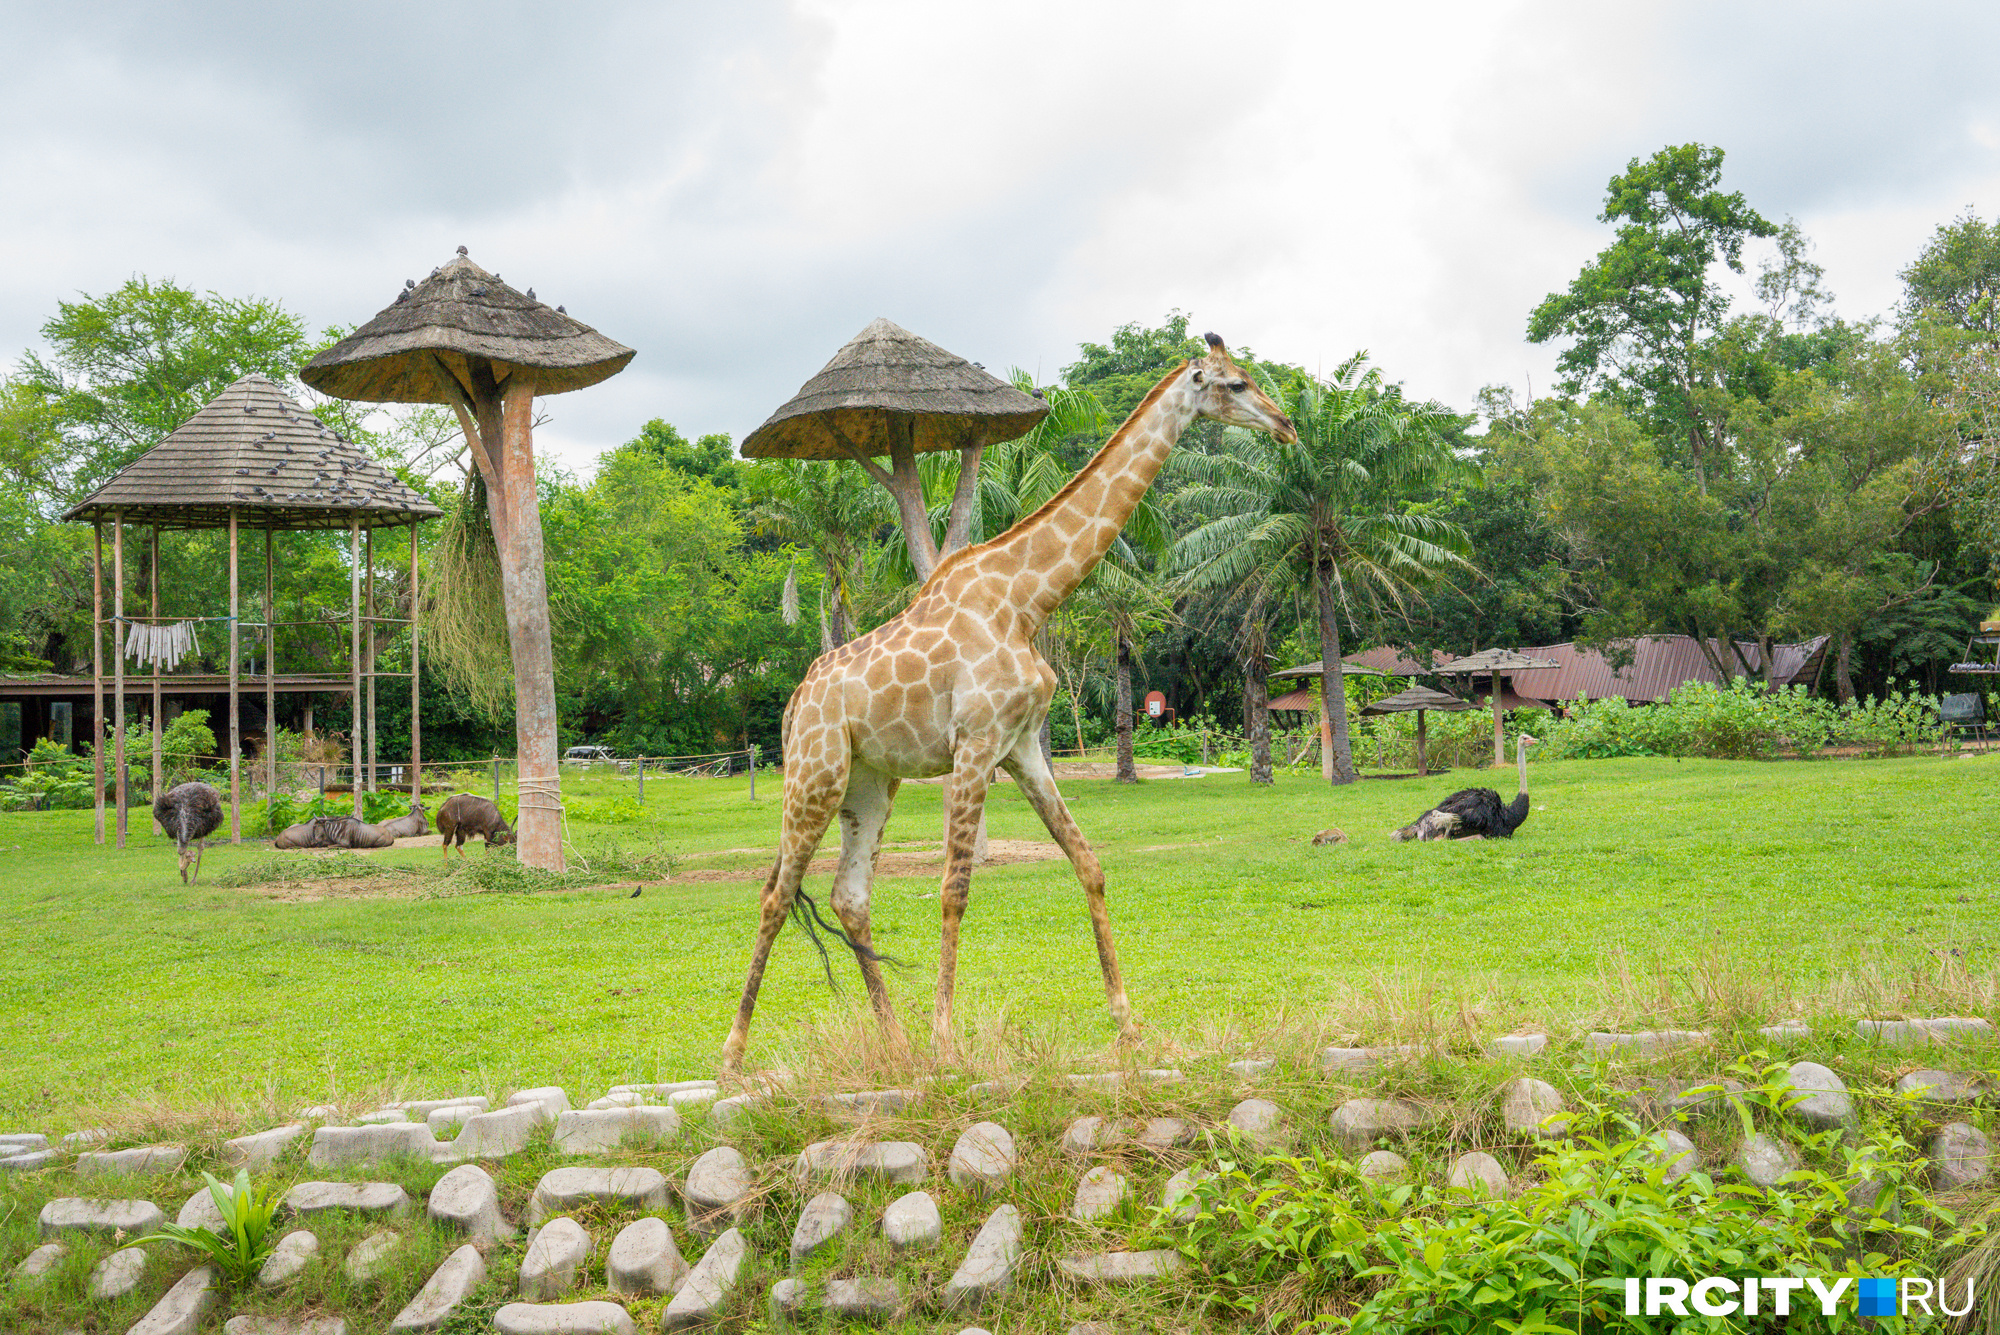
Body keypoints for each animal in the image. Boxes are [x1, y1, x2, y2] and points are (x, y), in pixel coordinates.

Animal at [720, 335, 1296, 1071]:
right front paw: (945, 1039)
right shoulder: (973, 745)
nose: (1286, 425)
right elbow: (954, 889)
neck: (1027, 601)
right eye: (1236, 383)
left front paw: (1128, 1025)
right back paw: (735, 1054)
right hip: (814, 773)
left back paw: (896, 1044)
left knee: (849, 896)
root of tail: (795, 704)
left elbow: (1089, 863)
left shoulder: (1021, 745)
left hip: (869, 783)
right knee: (776, 893)